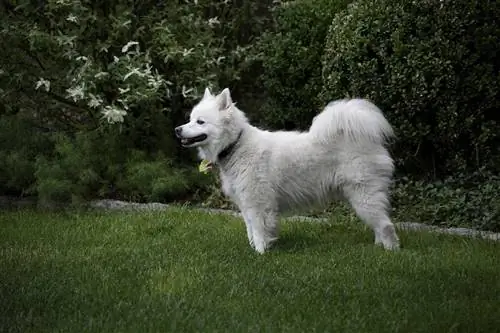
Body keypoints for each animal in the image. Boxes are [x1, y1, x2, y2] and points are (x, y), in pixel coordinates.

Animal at [174, 87, 400, 253]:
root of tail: (369, 140)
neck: (236, 145)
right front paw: (255, 249)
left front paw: (260, 254)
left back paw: (390, 251)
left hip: (364, 196)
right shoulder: (246, 205)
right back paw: (378, 246)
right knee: (380, 225)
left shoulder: (258, 204)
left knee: (386, 225)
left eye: (200, 121)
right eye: (190, 119)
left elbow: (259, 230)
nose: (177, 129)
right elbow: (250, 230)